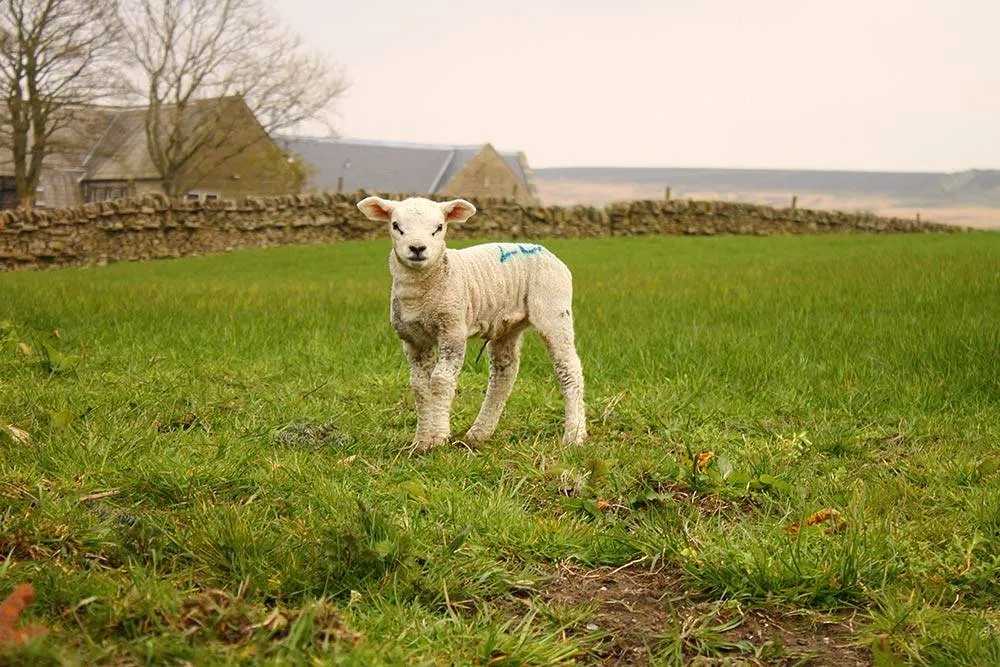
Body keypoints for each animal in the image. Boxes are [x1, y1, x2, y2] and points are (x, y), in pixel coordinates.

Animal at [356, 195, 587, 451]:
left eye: (439, 227)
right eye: (396, 226)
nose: (417, 248)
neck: (423, 291)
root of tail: (546, 252)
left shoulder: (453, 329)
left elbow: (441, 380)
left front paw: (438, 437)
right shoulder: (412, 340)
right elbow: (419, 386)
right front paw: (421, 441)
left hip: (553, 306)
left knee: (568, 369)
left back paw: (574, 435)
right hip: (507, 325)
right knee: (503, 374)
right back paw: (479, 433)